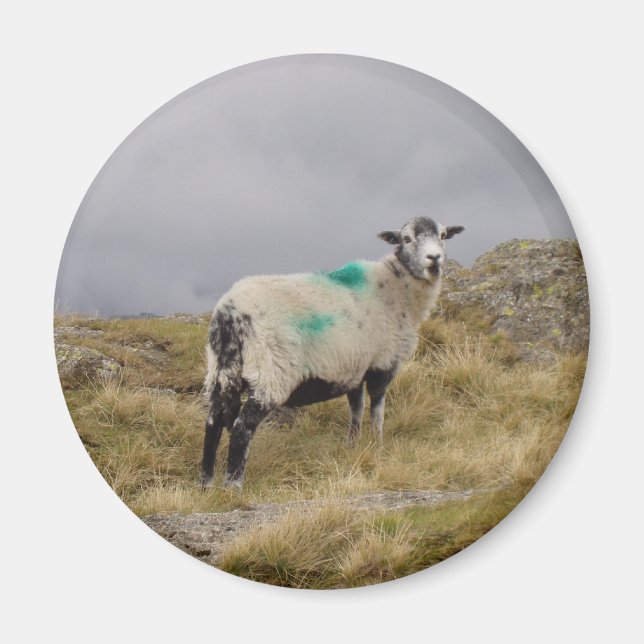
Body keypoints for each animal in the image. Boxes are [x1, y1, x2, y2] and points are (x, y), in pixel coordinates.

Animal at [200, 216, 465, 490]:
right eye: (407, 239)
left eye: (443, 235)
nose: (434, 259)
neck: (397, 288)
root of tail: (230, 313)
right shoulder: (383, 364)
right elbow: (377, 411)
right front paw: (378, 446)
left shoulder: (355, 370)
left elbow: (356, 410)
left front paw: (353, 446)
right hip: (271, 373)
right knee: (242, 427)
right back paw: (233, 486)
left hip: (221, 370)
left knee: (213, 422)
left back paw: (207, 483)